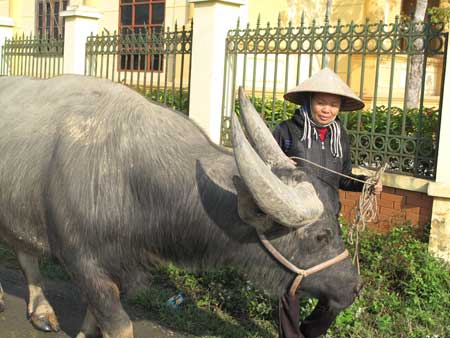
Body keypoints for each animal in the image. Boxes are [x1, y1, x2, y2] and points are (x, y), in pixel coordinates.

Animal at [0, 75, 358, 336]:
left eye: (335, 221)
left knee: (24, 252)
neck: (130, 175)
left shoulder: (120, 265)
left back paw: (41, 312)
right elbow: (118, 324)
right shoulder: (82, 261)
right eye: (321, 236)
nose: (354, 287)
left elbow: (94, 317)